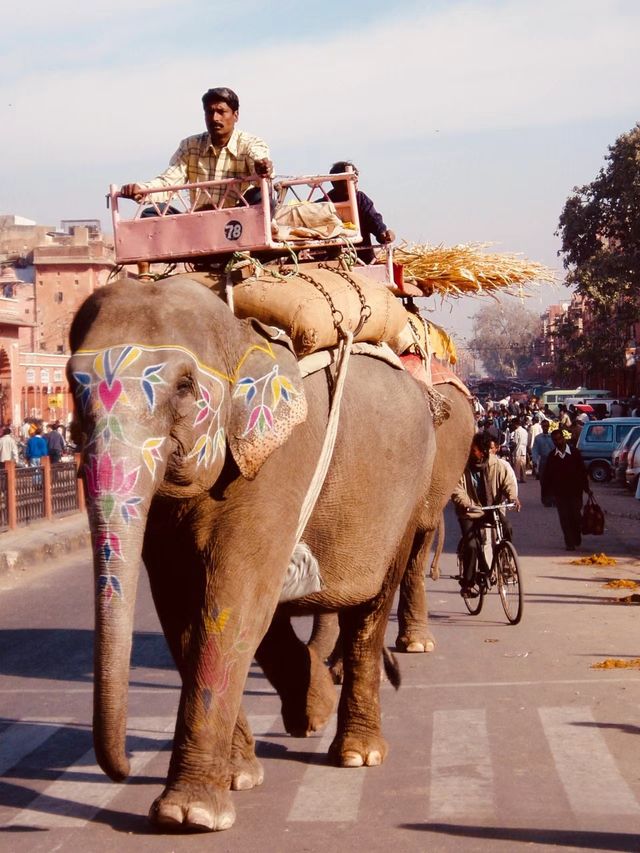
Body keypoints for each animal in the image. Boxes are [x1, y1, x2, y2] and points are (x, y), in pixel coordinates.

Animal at [70, 274, 438, 832]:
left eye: (184, 386)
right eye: (72, 386)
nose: (124, 768)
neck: (237, 331)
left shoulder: (275, 464)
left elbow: (232, 600)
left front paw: (189, 815)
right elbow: (183, 606)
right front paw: (237, 779)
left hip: (408, 496)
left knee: (368, 612)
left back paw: (358, 753)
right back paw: (312, 708)